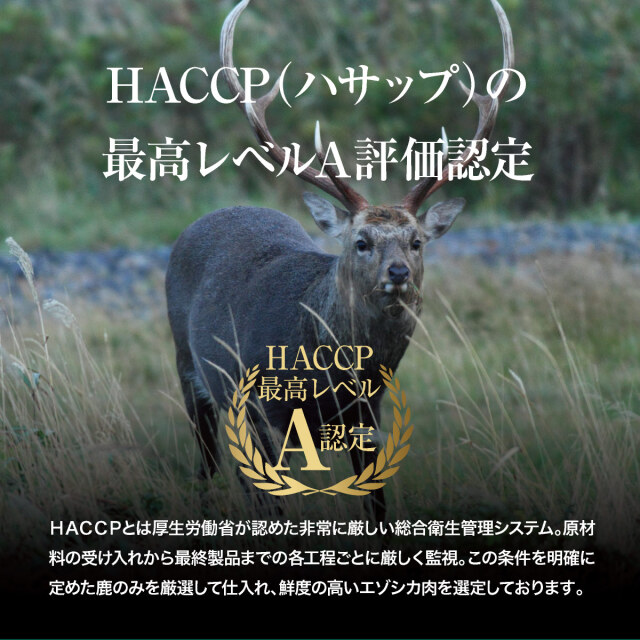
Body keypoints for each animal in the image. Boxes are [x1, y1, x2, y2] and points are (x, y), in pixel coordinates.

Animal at [166, 0, 513, 521]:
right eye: (361, 241)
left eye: (416, 241)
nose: (398, 273)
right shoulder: (260, 408)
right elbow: (270, 499)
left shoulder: (369, 416)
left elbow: (377, 504)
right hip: (189, 367)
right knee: (207, 467)